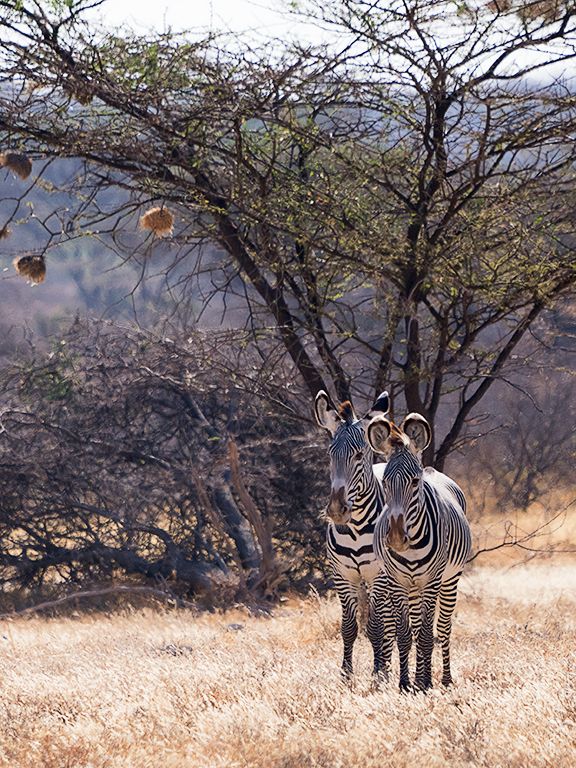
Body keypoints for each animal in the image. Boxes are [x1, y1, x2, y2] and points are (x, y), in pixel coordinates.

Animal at [314, 389, 395, 680]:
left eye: (359, 454)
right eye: (330, 454)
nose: (337, 511)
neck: (357, 528)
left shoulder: (377, 575)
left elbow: (376, 627)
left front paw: (378, 672)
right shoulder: (342, 574)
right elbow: (349, 627)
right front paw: (346, 674)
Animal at [365, 411, 471, 691]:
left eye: (414, 482)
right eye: (385, 482)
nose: (395, 538)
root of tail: (432, 470)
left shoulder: (432, 581)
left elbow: (425, 634)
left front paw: (425, 683)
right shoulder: (396, 582)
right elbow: (405, 634)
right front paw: (406, 683)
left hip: (449, 580)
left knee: (443, 628)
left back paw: (444, 678)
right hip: (413, 587)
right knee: (415, 627)